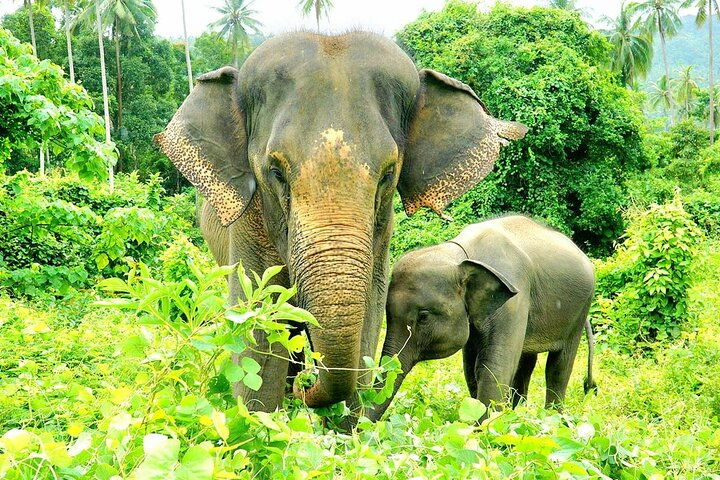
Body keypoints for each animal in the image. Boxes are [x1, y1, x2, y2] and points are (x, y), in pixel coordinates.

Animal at [155, 31, 527, 413]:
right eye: (276, 172)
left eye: (388, 174)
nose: (306, 386)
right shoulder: (250, 221)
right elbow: (258, 315)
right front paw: (258, 419)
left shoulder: (381, 231)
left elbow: (368, 314)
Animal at [369, 215, 596, 421]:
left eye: (423, 317)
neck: (462, 255)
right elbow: (471, 368)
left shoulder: (514, 300)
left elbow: (493, 366)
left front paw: (486, 429)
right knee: (525, 364)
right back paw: (518, 416)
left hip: (581, 307)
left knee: (558, 367)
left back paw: (553, 420)